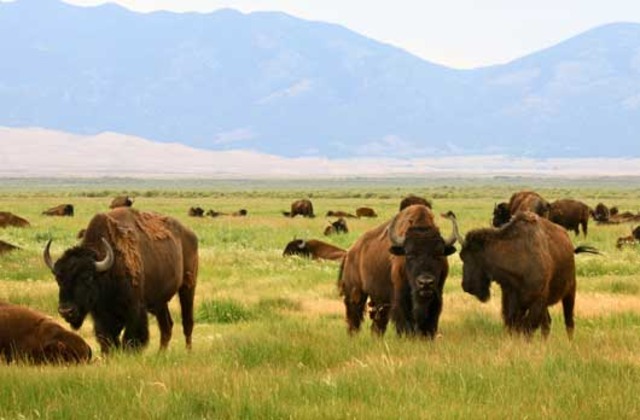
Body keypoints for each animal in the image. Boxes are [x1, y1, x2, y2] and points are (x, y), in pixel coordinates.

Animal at [43, 207, 199, 353]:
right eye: (58, 278)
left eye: (87, 277)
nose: (65, 311)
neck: (107, 269)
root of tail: (190, 235)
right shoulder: (102, 316)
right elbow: (108, 339)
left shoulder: (134, 311)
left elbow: (130, 339)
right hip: (160, 301)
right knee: (166, 326)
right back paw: (160, 354)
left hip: (188, 287)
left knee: (187, 322)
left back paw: (188, 352)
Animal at [338, 204, 456, 338]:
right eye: (409, 254)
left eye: (439, 254)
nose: (425, 282)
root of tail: (349, 253)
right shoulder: (400, 298)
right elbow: (404, 322)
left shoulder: (437, 295)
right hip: (355, 293)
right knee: (354, 317)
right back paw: (353, 336)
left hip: (379, 301)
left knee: (377, 323)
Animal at [445, 211, 599, 339]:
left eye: (466, 256)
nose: (466, 286)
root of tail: (570, 246)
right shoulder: (511, 300)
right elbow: (515, 326)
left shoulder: (537, 301)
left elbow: (527, 328)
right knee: (547, 324)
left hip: (570, 291)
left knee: (568, 322)